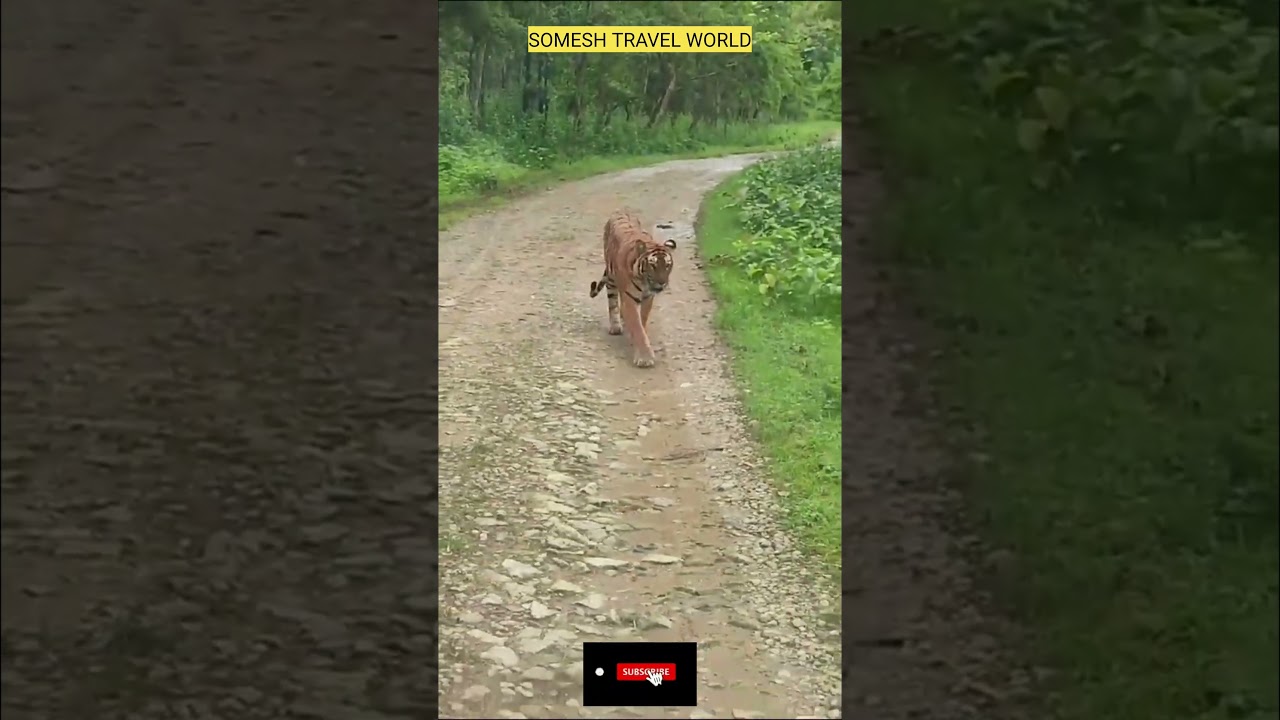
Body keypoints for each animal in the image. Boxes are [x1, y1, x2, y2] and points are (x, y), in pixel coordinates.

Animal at [588, 210, 677, 368]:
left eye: (667, 265)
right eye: (653, 265)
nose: (662, 283)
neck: (645, 282)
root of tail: (621, 210)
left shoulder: (648, 298)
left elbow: (642, 321)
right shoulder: (630, 298)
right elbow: (637, 326)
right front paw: (645, 358)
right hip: (611, 278)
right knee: (613, 301)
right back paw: (616, 327)